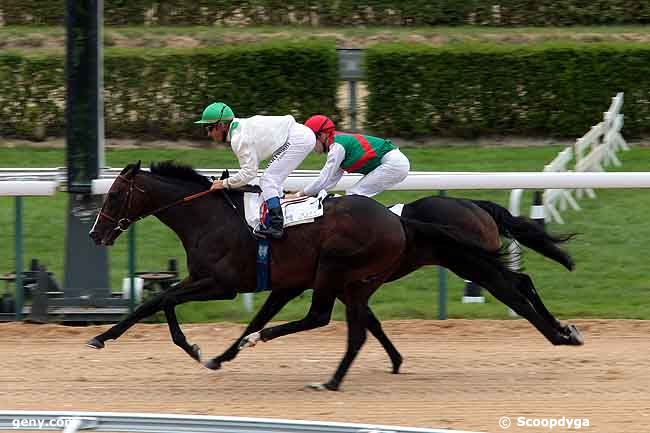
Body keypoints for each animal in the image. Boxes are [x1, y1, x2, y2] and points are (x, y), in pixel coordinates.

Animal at [87, 160, 584, 390]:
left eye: (114, 196)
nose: (95, 233)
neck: (212, 219)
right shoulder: (290, 284)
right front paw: (217, 354)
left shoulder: (223, 284)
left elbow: (160, 299)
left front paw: (108, 338)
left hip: (371, 266)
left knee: (513, 289)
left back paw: (560, 333)